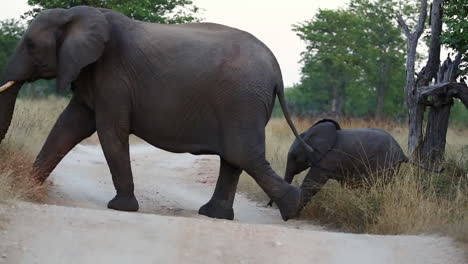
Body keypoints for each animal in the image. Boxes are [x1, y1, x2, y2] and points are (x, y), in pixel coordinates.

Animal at [1, 5, 314, 221]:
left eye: (30, 45)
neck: (74, 13)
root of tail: (277, 69)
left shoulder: (113, 76)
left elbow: (109, 131)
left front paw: (121, 208)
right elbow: (69, 125)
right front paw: (29, 185)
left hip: (242, 100)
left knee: (242, 153)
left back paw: (293, 209)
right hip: (243, 102)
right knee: (235, 157)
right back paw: (215, 214)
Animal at [268, 118, 426, 207]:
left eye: (294, 157)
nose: (269, 205)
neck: (310, 134)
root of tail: (402, 152)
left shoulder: (328, 159)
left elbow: (313, 183)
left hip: (386, 163)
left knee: (379, 184)